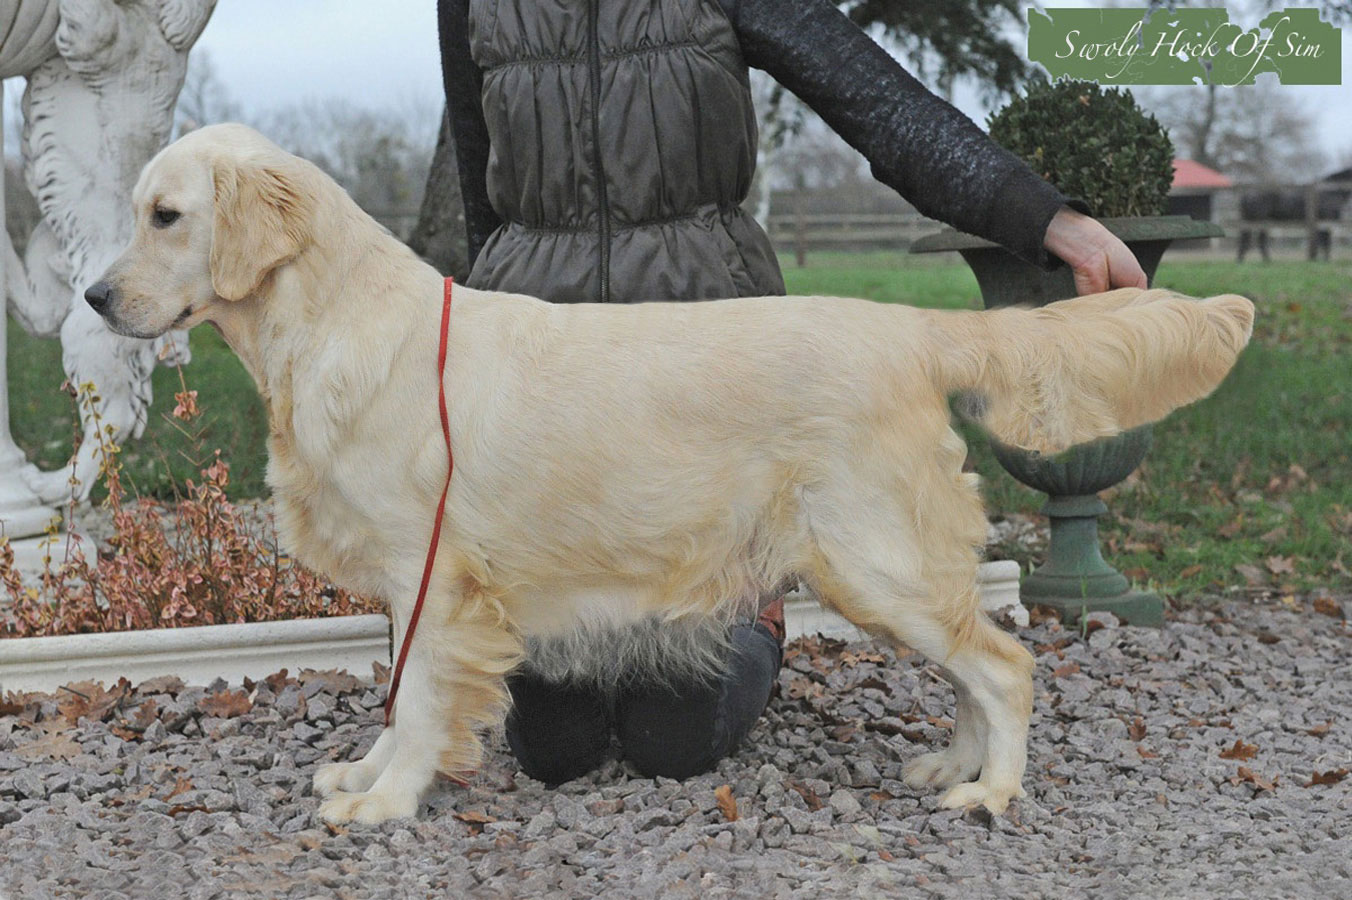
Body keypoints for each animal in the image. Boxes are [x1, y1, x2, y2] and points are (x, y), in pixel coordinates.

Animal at [85, 124, 1254, 825]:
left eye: (166, 215)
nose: (93, 299)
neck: (327, 327)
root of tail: (915, 331)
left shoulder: (436, 574)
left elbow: (416, 702)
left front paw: (387, 800)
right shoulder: (412, 587)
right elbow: (396, 696)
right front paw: (367, 775)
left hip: (876, 562)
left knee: (1005, 666)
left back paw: (991, 792)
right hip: (882, 572)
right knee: (976, 664)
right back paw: (950, 767)